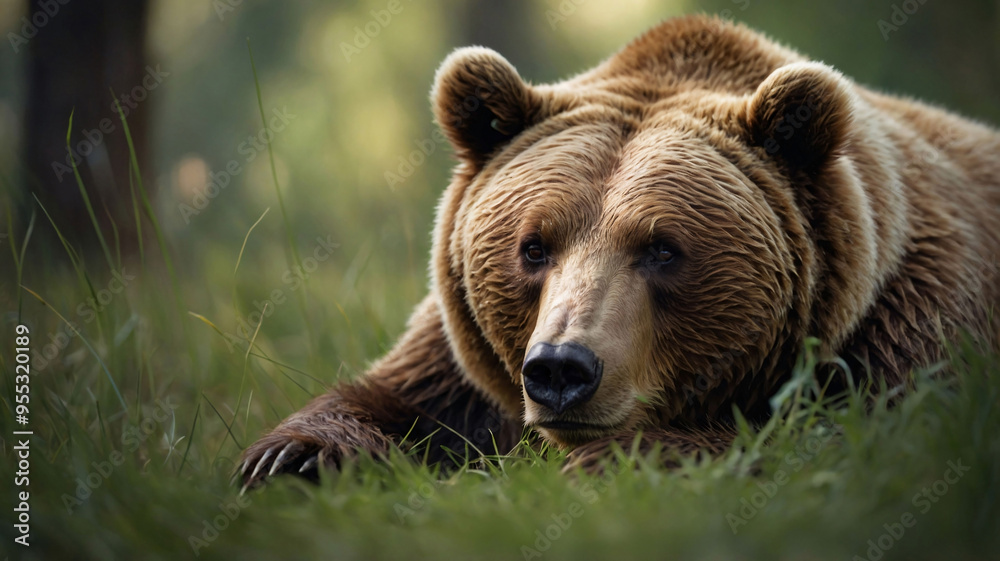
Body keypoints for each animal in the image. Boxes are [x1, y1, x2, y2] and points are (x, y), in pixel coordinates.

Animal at [239, 15, 1000, 487]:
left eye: (662, 248)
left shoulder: (909, 316)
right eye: (533, 247)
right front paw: (287, 460)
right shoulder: (463, 349)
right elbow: (402, 397)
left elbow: (853, 433)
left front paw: (614, 461)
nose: (560, 369)